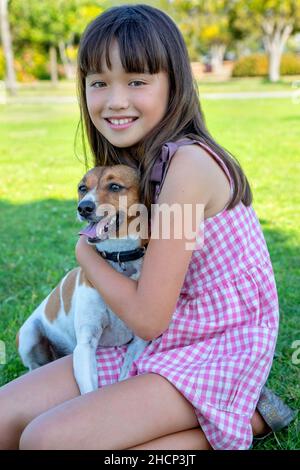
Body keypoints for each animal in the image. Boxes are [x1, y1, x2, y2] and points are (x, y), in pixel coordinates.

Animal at [17, 165, 148, 392]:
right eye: (82, 188)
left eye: (115, 186)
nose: (83, 207)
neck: (118, 255)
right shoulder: (86, 344)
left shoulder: (139, 340)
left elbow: (125, 374)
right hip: (29, 335)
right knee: (33, 365)